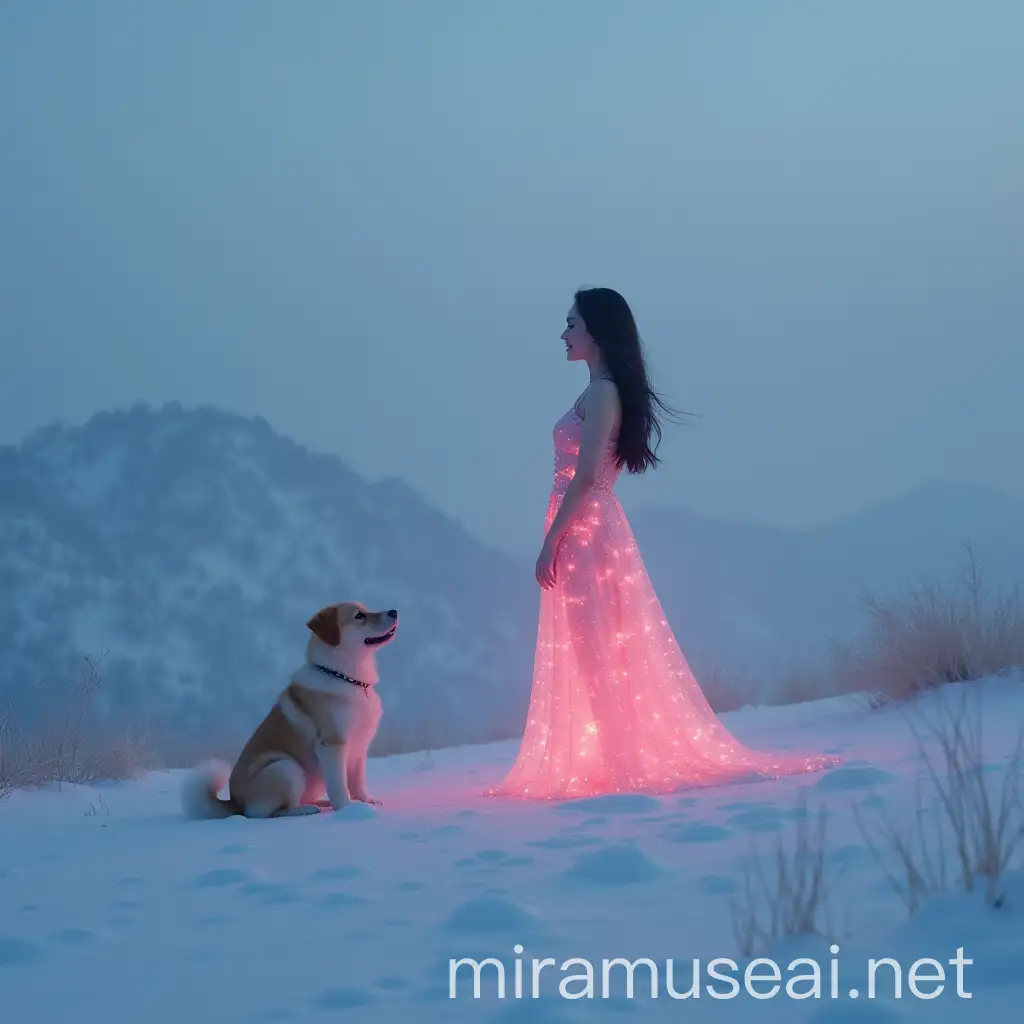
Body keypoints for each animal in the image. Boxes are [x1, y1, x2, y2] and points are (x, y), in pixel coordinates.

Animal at [182, 602, 397, 819]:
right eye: (359, 615)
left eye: (366, 609)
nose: (394, 612)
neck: (345, 677)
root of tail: (235, 803)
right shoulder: (331, 744)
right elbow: (339, 785)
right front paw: (347, 808)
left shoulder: (360, 747)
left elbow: (357, 782)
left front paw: (366, 802)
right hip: (285, 768)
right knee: (269, 812)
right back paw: (305, 809)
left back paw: (321, 802)